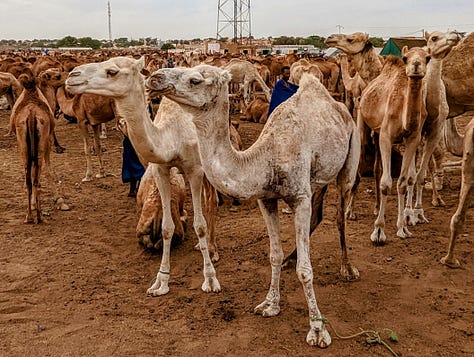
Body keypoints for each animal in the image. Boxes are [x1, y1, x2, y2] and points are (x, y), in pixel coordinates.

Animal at [65, 55, 220, 296]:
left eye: (112, 71)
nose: (72, 76)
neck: (170, 138)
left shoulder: (195, 170)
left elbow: (200, 225)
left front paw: (210, 279)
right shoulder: (160, 169)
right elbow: (166, 228)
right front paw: (161, 282)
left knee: (211, 200)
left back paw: (213, 250)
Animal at [144, 64, 360, 348]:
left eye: (195, 80)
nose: (154, 78)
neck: (265, 158)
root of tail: (339, 107)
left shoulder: (299, 198)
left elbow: (306, 270)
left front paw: (317, 329)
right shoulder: (265, 199)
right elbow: (273, 255)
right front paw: (270, 304)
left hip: (350, 156)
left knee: (339, 213)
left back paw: (348, 269)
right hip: (320, 176)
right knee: (319, 212)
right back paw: (293, 259)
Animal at [360, 46, 434, 243]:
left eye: (428, 57)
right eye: (406, 58)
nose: (415, 66)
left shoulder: (412, 139)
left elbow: (401, 182)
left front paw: (402, 228)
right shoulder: (386, 136)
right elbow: (386, 183)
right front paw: (378, 231)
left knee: (378, 169)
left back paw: (378, 208)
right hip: (363, 122)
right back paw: (352, 211)